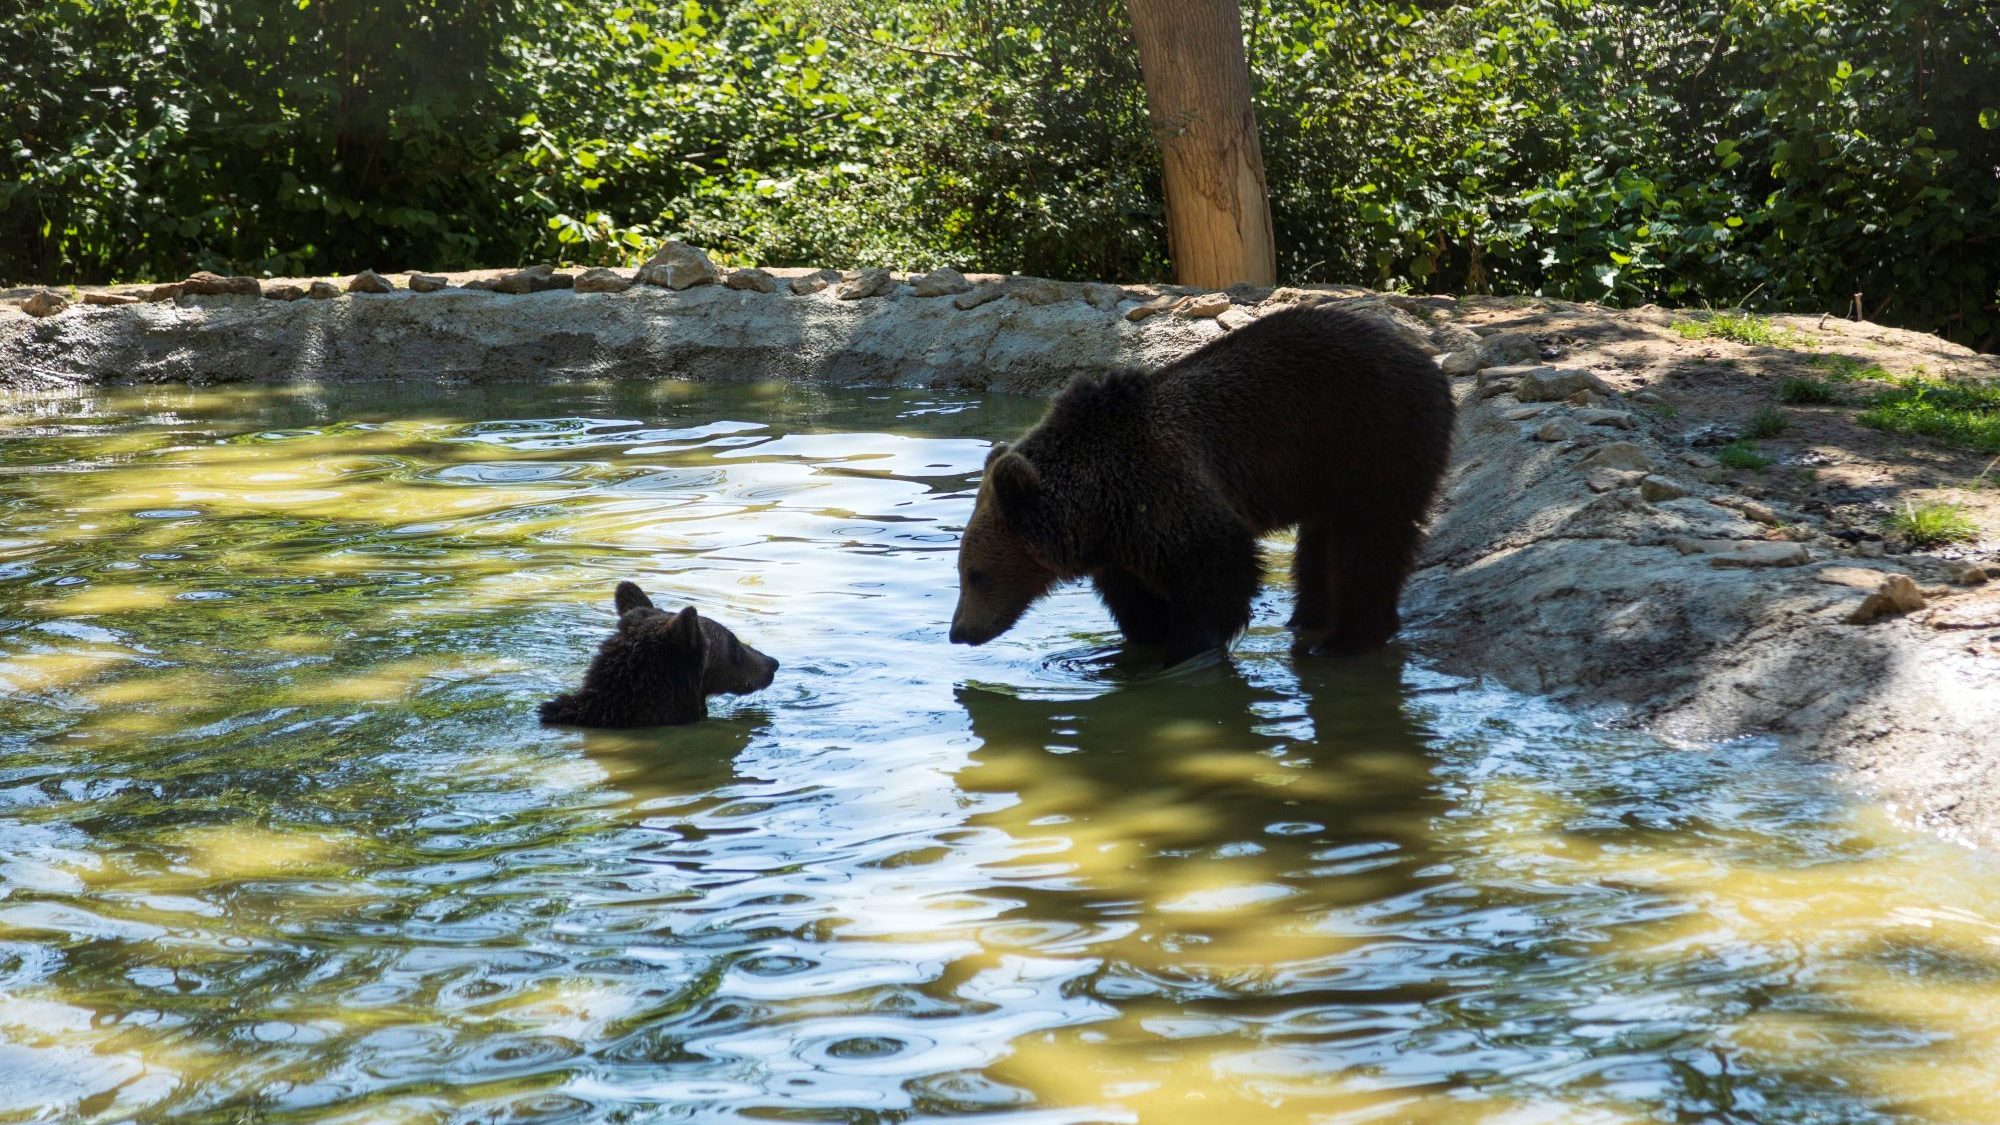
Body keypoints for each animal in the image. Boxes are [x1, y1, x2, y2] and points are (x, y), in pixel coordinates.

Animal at [952, 302, 1456, 660]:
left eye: (974, 573)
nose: (959, 632)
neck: (1096, 505)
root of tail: (1429, 363)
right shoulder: (1120, 540)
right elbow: (1135, 599)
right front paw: (1143, 637)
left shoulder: (1162, 487)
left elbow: (1218, 567)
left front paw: (1189, 645)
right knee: (1321, 541)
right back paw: (1306, 619)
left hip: (1371, 440)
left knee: (1368, 538)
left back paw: (1347, 639)